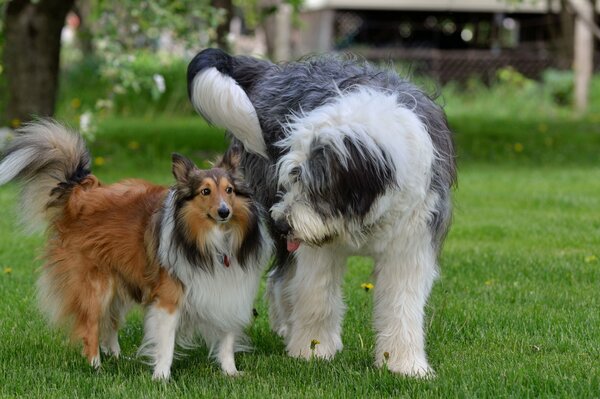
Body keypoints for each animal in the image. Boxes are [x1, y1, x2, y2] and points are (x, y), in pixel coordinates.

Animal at [0, 120, 272, 380]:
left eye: (229, 190)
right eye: (205, 191)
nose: (225, 212)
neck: (213, 241)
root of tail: (79, 193)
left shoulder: (228, 289)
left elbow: (226, 338)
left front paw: (230, 372)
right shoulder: (169, 297)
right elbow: (166, 342)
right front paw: (161, 376)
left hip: (120, 283)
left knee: (110, 323)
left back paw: (118, 358)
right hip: (96, 286)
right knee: (92, 326)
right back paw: (96, 366)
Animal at [188, 48, 454, 376]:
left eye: (314, 186)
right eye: (290, 178)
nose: (281, 223)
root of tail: (274, 71)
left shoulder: (411, 241)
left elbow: (401, 303)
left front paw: (404, 365)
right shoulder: (317, 246)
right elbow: (317, 295)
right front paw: (311, 351)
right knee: (283, 277)